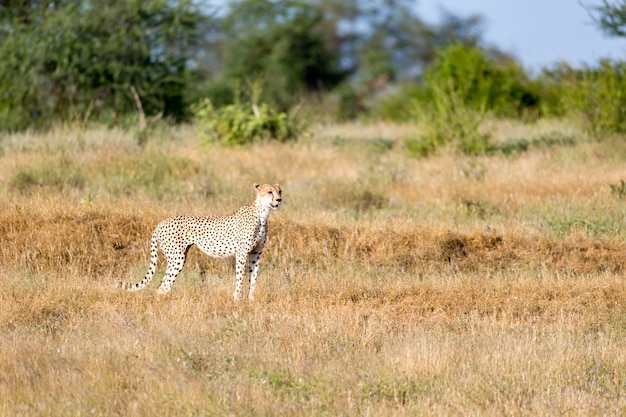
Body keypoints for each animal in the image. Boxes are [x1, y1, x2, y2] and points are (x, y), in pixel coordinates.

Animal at [119, 182, 280, 300]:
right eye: (270, 192)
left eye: (280, 191)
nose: (279, 199)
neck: (262, 213)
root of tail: (161, 223)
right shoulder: (241, 253)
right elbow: (240, 277)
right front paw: (238, 300)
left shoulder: (255, 254)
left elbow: (253, 277)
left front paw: (251, 300)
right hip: (176, 258)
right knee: (163, 286)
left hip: (178, 257)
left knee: (163, 285)